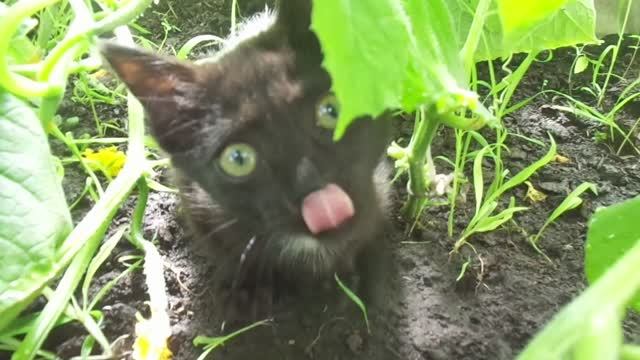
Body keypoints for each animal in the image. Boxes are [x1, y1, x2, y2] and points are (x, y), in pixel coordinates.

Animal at [101, 0, 390, 316]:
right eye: (238, 158)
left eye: (332, 111)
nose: (313, 188)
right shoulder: (197, 202)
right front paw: (248, 286)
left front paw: (342, 277)